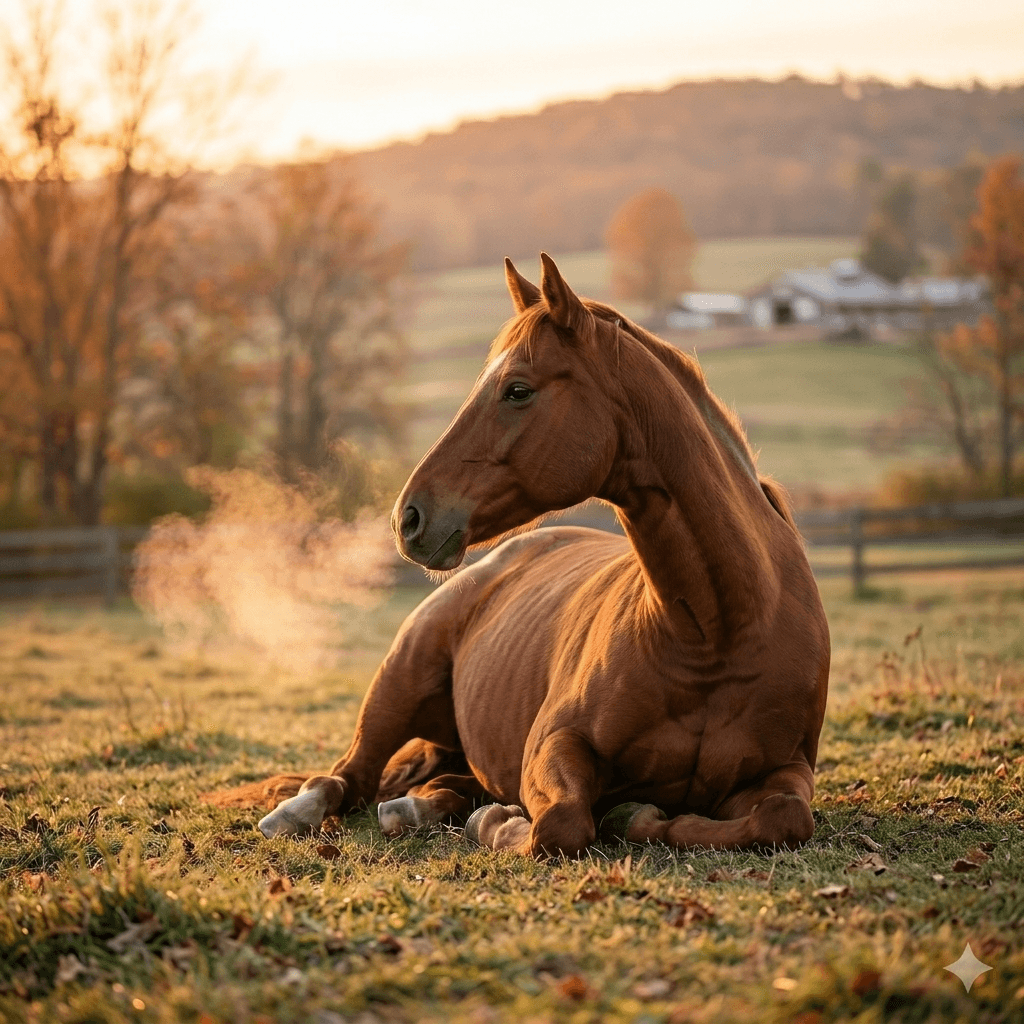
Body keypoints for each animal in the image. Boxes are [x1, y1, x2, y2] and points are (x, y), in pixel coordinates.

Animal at [208, 254, 830, 857]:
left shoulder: (786, 769)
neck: (716, 636)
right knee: (349, 777)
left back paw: (419, 808)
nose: (409, 516)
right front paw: (502, 824)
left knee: (434, 784)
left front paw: (631, 816)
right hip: (398, 681)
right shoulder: (555, 743)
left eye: (517, 389)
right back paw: (300, 813)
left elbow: (783, 817)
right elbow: (559, 824)